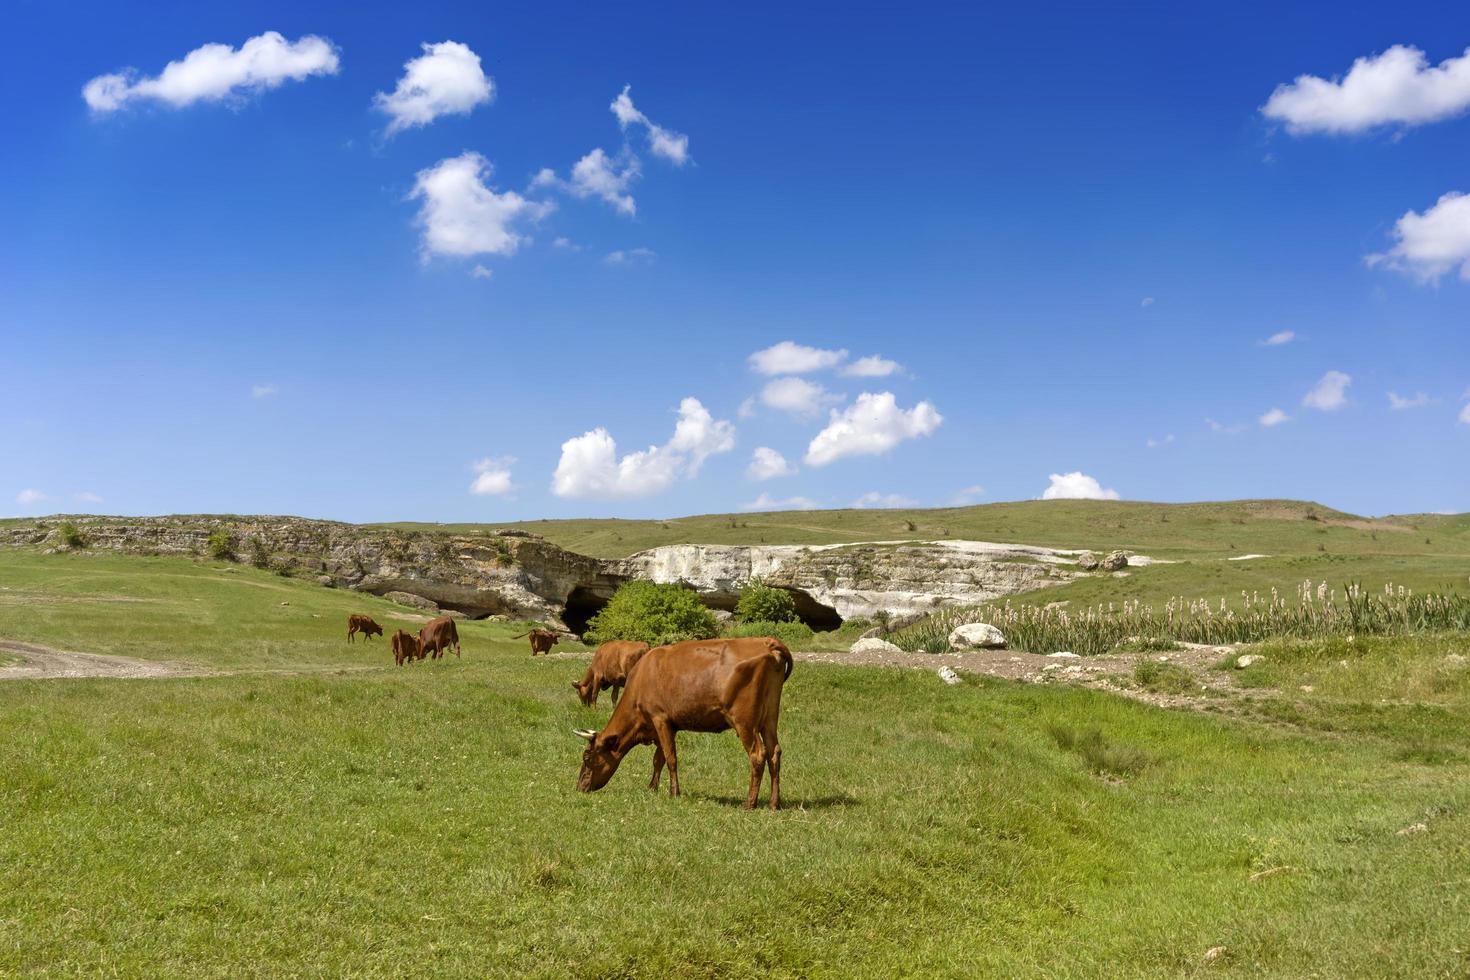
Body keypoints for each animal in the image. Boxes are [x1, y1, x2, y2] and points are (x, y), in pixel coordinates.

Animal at [570, 637, 793, 811]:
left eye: (587, 757)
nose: (580, 787)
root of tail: (767, 642)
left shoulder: (659, 718)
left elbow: (670, 758)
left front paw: (674, 792)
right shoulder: (666, 725)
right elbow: (658, 759)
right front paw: (652, 787)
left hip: (745, 721)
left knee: (758, 755)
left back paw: (750, 803)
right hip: (770, 718)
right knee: (774, 753)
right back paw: (774, 803)